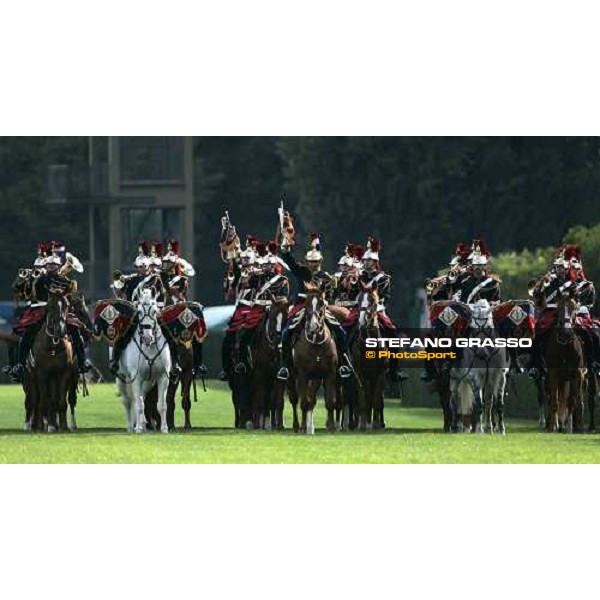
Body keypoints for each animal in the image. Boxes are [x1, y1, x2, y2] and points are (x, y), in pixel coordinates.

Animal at [116, 288, 171, 434]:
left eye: (155, 311)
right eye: (139, 312)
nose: (147, 337)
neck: (149, 347)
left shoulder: (163, 377)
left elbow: (162, 405)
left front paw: (164, 428)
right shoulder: (137, 378)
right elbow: (138, 404)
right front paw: (139, 428)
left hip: (148, 382)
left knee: (141, 398)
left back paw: (143, 424)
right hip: (122, 379)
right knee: (128, 401)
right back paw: (132, 427)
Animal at [290, 284, 338, 434]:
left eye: (322, 303)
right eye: (306, 303)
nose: (313, 325)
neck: (316, 342)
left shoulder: (329, 374)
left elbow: (329, 402)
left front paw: (331, 427)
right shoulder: (303, 375)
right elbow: (304, 402)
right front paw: (303, 427)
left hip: (316, 379)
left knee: (312, 399)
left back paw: (311, 428)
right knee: (296, 399)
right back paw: (299, 425)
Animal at [450, 298, 510, 432]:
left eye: (488, 327)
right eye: (472, 327)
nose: (481, 352)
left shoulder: (498, 376)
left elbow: (496, 403)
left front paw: (500, 429)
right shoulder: (474, 376)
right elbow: (478, 403)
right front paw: (478, 429)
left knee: (485, 402)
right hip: (455, 379)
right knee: (456, 401)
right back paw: (456, 427)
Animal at [544, 292, 584, 432]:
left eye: (573, 307)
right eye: (559, 308)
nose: (566, 331)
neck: (565, 346)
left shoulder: (576, 375)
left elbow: (572, 401)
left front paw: (571, 427)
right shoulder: (553, 374)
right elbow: (555, 401)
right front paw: (553, 427)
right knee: (552, 398)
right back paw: (555, 424)